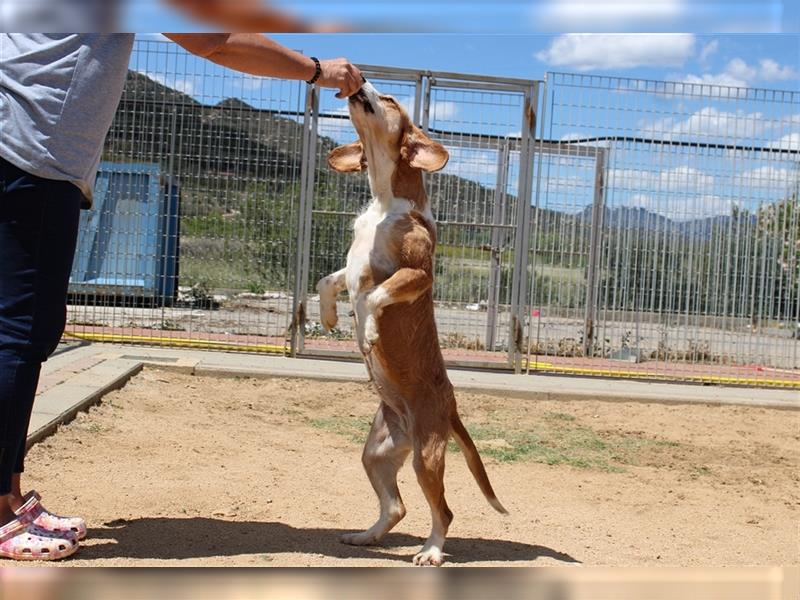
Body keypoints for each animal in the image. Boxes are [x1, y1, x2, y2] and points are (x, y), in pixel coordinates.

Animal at [314, 81, 506, 568]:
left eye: (390, 101)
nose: (361, 83)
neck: (384, 202)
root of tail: (450, 406)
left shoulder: (418, 275)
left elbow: (373, 297)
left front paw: (367, 332)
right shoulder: (352, 268)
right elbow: (328, 282)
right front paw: (328, 315)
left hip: (427, 458)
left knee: (445, 511)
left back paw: (432, 551)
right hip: (376, 453)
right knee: (397, 506)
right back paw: (366, 536)